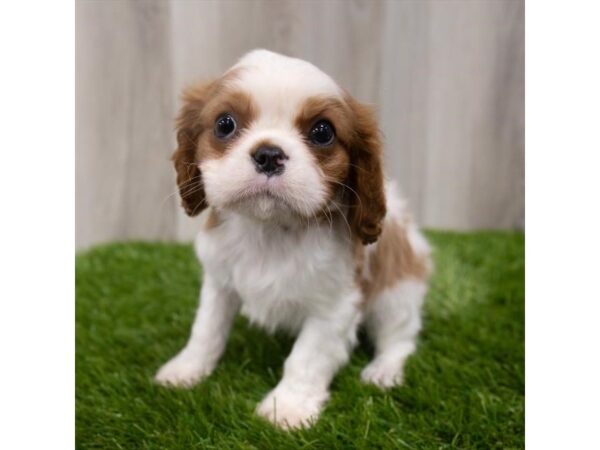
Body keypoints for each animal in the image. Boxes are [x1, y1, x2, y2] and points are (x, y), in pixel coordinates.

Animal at [156, 49, 432, 428]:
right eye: (225, 124)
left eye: (322, 132)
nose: (269, 154)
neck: (272, 230)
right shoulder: (219, 282)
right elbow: (206, 329)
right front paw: (186, 369)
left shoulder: (334, 306)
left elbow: (306, 357)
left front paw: (286, 408)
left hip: (397, 294)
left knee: (399, 338)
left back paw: (383, 371)